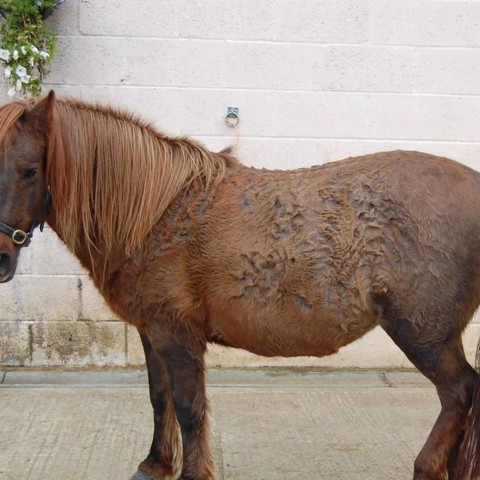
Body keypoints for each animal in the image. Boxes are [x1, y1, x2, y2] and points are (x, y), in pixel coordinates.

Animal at [0, 91, 480, 480]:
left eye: (29, 171)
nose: (1, 259)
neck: (156, 213)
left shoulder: (177, 335)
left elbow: (189, 409)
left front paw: (191, 473)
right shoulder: (152, 332)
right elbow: (159, 399)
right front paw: (156, 464)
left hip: (424, 335)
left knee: (459, 393)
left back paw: (426, 467)